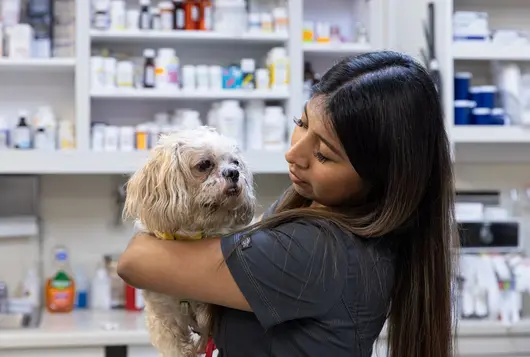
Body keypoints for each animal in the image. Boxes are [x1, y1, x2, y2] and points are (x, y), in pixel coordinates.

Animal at [124, 126, 256, 356]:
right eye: (204, 164)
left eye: (235, 162)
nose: (233, 173)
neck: (192, 234)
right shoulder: (164, 316)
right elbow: (176, 345)